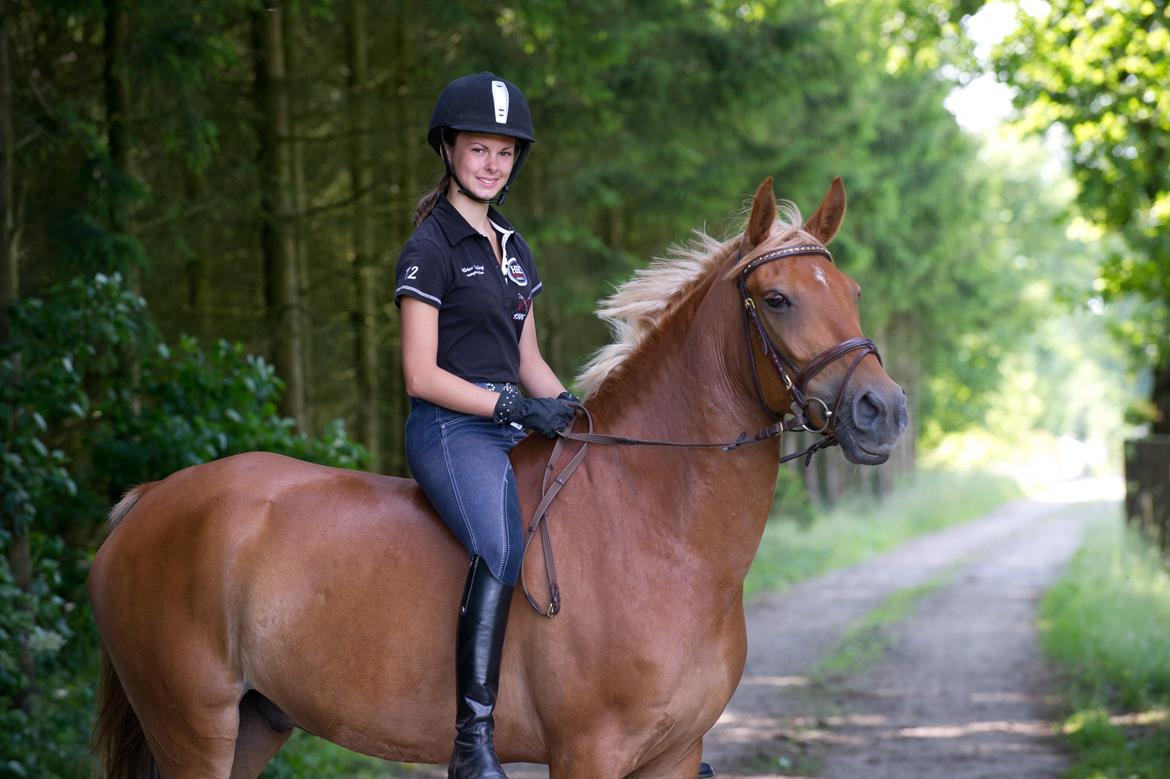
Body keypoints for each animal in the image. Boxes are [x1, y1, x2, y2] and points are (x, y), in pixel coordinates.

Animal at [89, 176, 908, 778]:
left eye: (853, 293)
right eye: (777, 299)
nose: (884, 411)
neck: (656, 527)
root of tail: (149, 500)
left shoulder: (675, 754)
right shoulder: (589, 753)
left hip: (253, 724)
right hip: (192, 726)